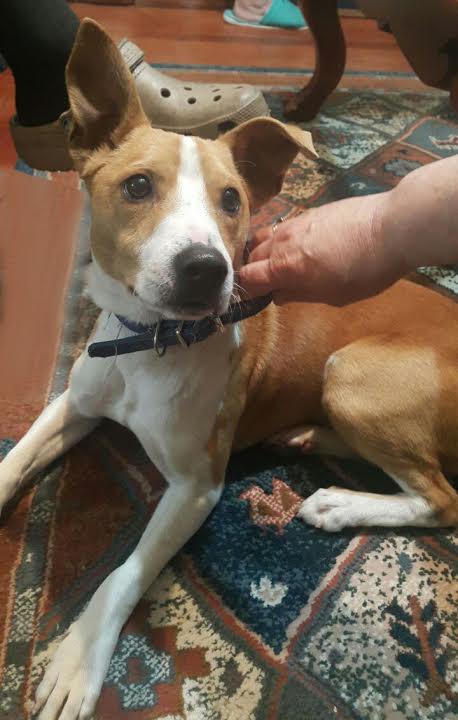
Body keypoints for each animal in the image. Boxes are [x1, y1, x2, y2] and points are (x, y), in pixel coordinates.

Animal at [1, 18, 457, 720]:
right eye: (137, 186)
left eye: (233, 199)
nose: (205, 269)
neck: (147, 345)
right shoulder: (74, 403)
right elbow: (15, 459)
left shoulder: (197, 486)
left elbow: (122, 574)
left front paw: (78, 659)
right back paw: (308, 436)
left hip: (351, 371)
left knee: (441, 498)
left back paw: (339, 504)